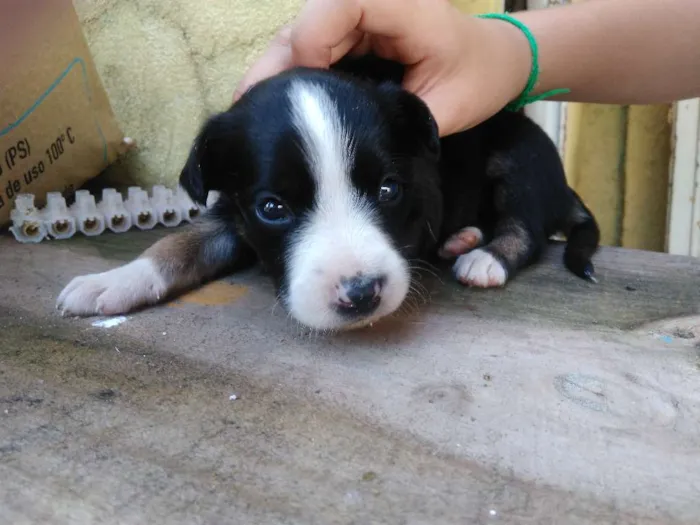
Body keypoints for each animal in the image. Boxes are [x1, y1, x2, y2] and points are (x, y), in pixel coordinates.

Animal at [57, 55, 600, 330]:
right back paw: (461, 239)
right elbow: (179, 242)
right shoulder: (234, 212)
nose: (361, 294)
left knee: (525, 227)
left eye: (388, 189)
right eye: (273, 208)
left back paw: (487, 257)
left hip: (522, 156)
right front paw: (116, 280)